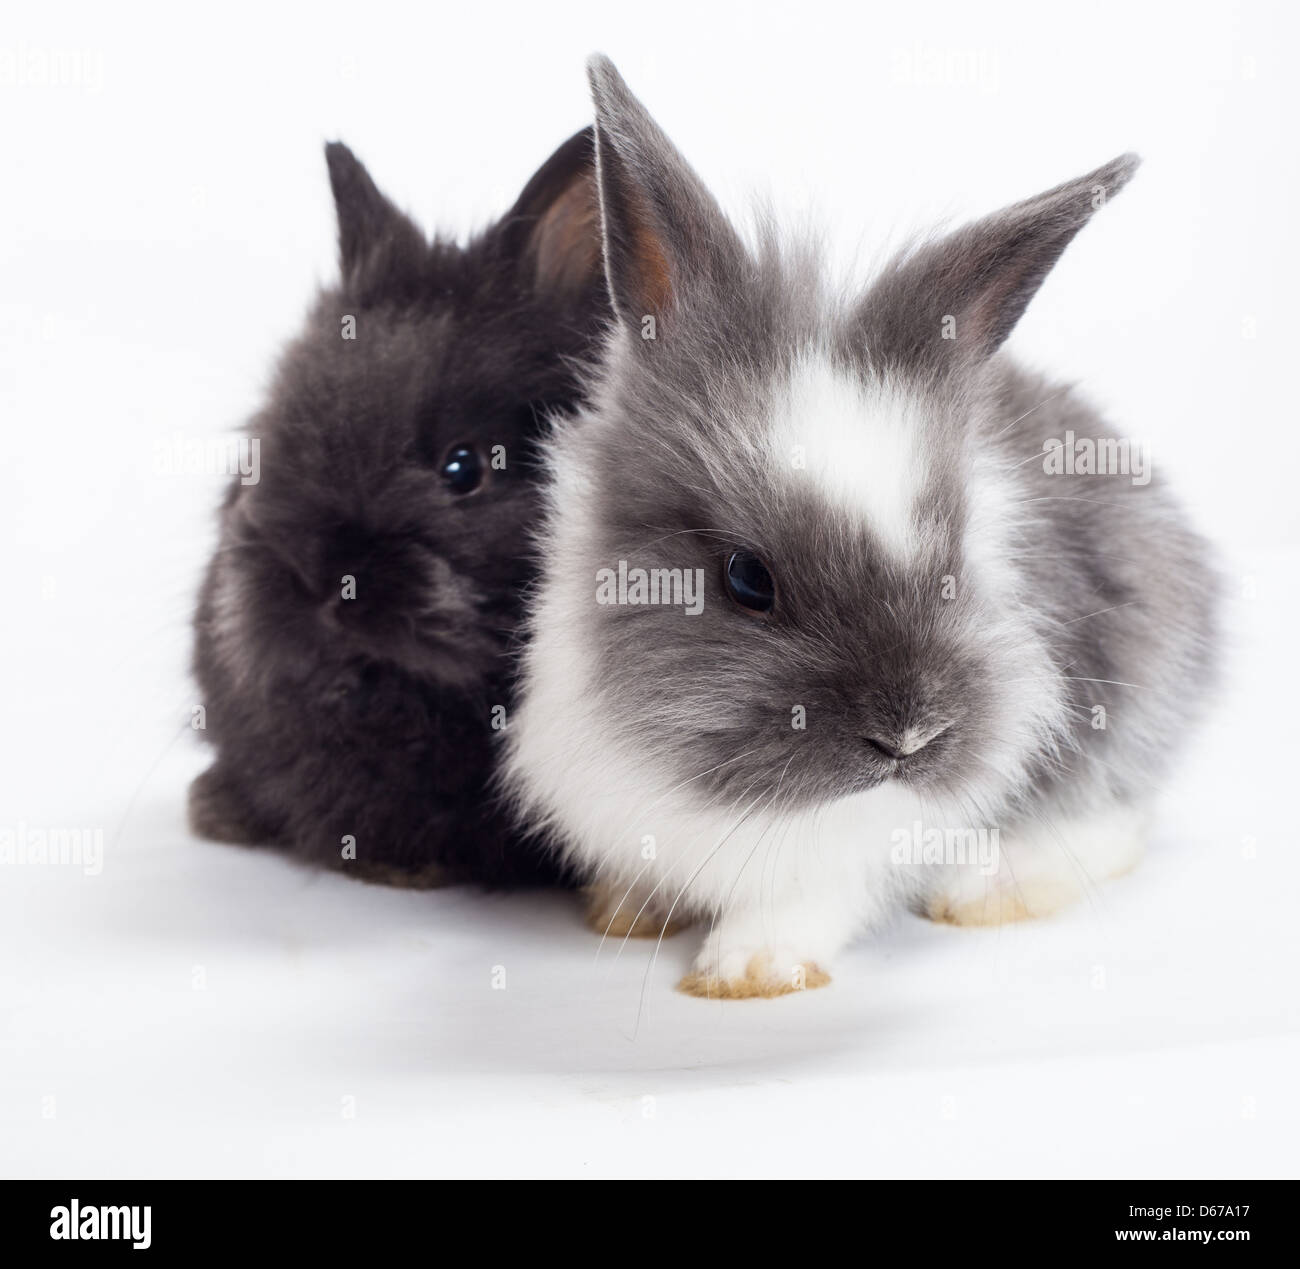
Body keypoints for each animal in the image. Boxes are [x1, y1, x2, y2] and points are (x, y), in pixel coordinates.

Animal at [503, 57, 1221, 995]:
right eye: (747, 579)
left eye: (952, 564)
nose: (909, 738)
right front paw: (626, 910)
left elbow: (818, 893)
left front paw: (747, 969)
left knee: (1118, 811)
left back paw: (994, 887)